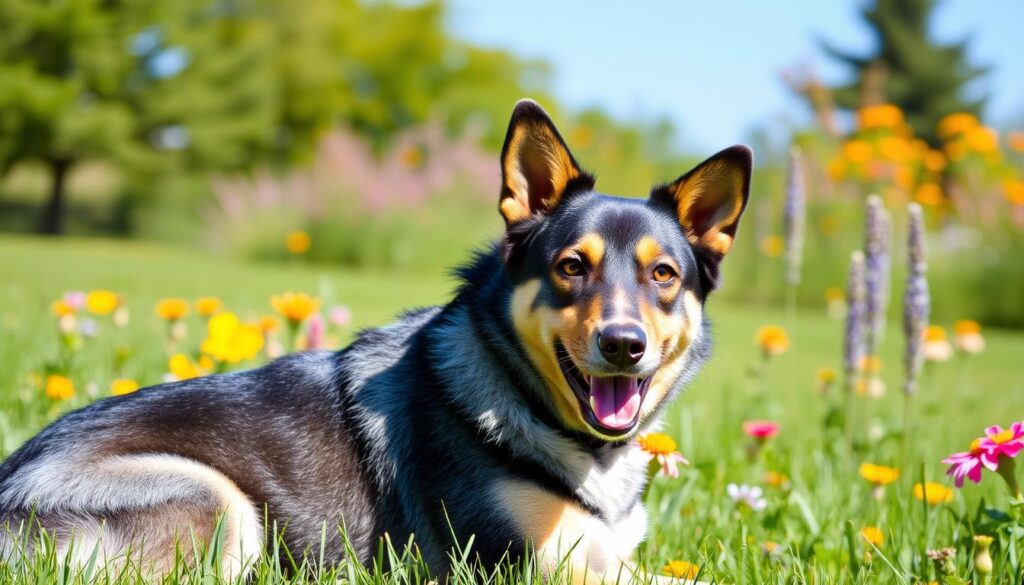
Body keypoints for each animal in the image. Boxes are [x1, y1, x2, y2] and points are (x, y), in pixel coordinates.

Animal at [0, 99, 753, 581]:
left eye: (663, 274)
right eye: (572, 266)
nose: (625, 344)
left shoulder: (607, 555)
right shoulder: (530, 566)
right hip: (216, 498)